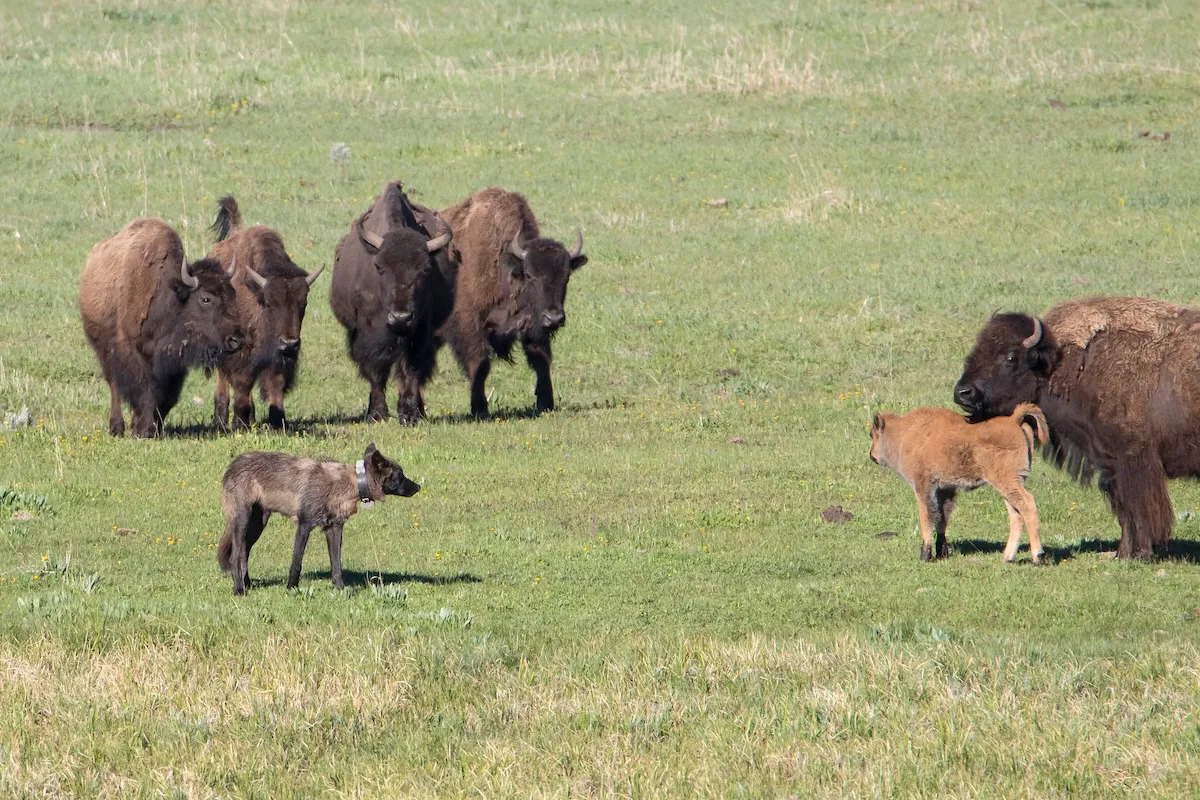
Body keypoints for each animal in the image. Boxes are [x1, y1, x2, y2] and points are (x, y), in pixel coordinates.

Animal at [80, 218, 244, 438]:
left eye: (232, 294)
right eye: (206, 299)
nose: (236, 340)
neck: (168, 297)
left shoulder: (172, 362)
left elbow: (166, 395)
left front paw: (151, 426)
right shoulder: (132, 352)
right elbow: (143, 388)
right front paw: (144, 429)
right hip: (103, 349)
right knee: (114, 384)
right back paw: (117, 427)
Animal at [206, 196, 324, 430]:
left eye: (303, 303)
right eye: (270, 303)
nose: (290, 343)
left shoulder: (278, 358)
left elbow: (275, 383)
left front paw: (277, 421)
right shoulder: (240, 351)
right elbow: (241, 383)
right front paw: (239, 423)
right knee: (223, 380)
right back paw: (222, 419)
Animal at [329, 181, 454, 425]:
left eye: (425, 269)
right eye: (379, 267)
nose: (400, 317)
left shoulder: (420, 333)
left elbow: (411, 370)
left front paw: (409, 415)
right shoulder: (368, 334)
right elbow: (376, 371)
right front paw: (378, 413)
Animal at [437, 187, 587, 418]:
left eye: (567, 276)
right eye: (530, 275)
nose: (554, 318)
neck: (505, 270)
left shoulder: (533, 325)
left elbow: (541, 360)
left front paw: (546, 403)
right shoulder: (469, 325)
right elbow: (479, 365)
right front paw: (480, 409)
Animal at [954, 297, 1200, 559]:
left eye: (1010, 357)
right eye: (977, 350)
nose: (963, 393)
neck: (1067, 365)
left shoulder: (1135, 462)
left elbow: (1138, 509)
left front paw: (1140, 553)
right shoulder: (1109, 465)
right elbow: (1124, 511)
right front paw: (1122, 553)